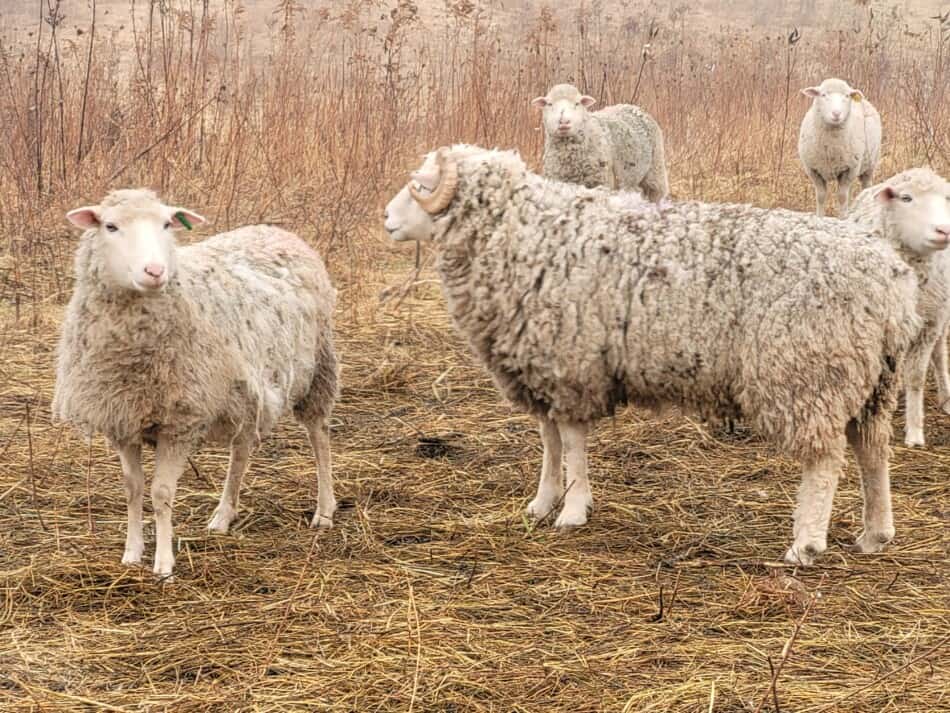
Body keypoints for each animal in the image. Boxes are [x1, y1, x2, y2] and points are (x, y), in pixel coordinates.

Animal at [54, 189, 340, 580]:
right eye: (110, 226)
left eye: (166, 224)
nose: (155, 271)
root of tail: (275, 231)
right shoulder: (123, 420)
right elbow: (133, 489)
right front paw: (131, 554)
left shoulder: (180, 422)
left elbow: (160, 493)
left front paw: (163, 564)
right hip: (246, 391)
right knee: (242, 450)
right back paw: (223, 515)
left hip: (317, 368)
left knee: (319, 436)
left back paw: (324, 510)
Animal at [382, 146, 924, 568]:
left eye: (421, 185)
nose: (385, 220)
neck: (524, 233)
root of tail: (889, 281)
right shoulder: (542, 366)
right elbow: (549, 441)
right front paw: (542, 502)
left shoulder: (572, 364)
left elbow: (571, 443)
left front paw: (573, 510)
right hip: (872, 382)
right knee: (873, 450)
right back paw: (875, 534)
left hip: (806, 373)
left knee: (825, 460)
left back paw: (806, 544)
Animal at [532, 83, 672, 202]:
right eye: (549, 104)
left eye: (577, 103)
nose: (564, 121)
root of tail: (632, 107)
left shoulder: (601, 183)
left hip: (655, 174)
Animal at [796, 77, 884, 216]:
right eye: (823, 95)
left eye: (846, 96)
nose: (836, 113)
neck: (830, 149)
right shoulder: (813, 170)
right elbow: (821, 196)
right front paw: (820, 216)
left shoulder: (849, 169)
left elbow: (842, 197)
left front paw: (843, 217)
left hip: (870, 164)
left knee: (866, 186)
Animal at [848, 165, 950, 444]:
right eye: (906, 198)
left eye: (947, 199)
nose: (944, 230)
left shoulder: (930, 323)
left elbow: (915, 378)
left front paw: (914, 432)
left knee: (940, 353)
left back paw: (946, 397)